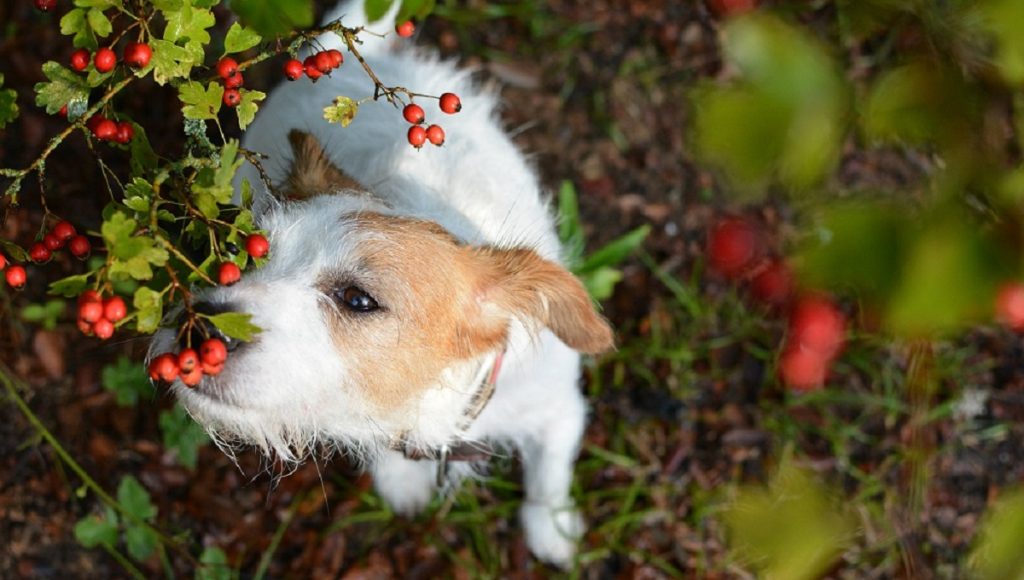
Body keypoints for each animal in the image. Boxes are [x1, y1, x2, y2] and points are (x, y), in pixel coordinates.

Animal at [153, 1, 614, 569]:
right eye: (248, 252)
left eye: (359, 299)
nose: (199, 331)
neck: (433, 412)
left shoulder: (558, 407)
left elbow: (550, 474)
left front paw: (552, 529)